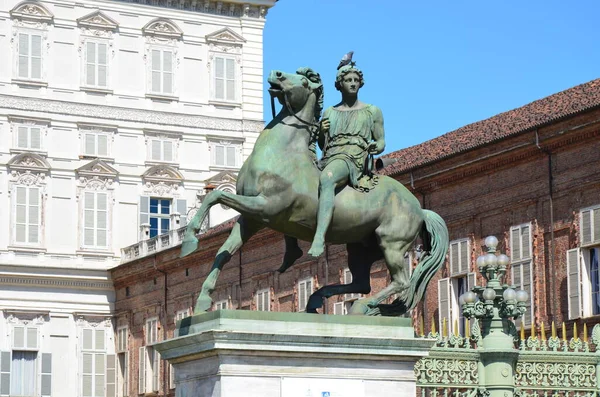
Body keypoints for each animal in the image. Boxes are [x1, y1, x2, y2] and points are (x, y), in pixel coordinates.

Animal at [180, 68, 448, 316]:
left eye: (305, 81)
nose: (276, 73)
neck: (283, 154)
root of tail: (419, 208)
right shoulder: (252, 218)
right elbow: (223, 252)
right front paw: (203, 300)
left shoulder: (266, 207)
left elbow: (215, 195)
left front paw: (189, 240)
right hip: (360, 247)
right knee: (362, 283)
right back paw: (318, 298)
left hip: (391, 243)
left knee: (400, 282)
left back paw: (359, 305)